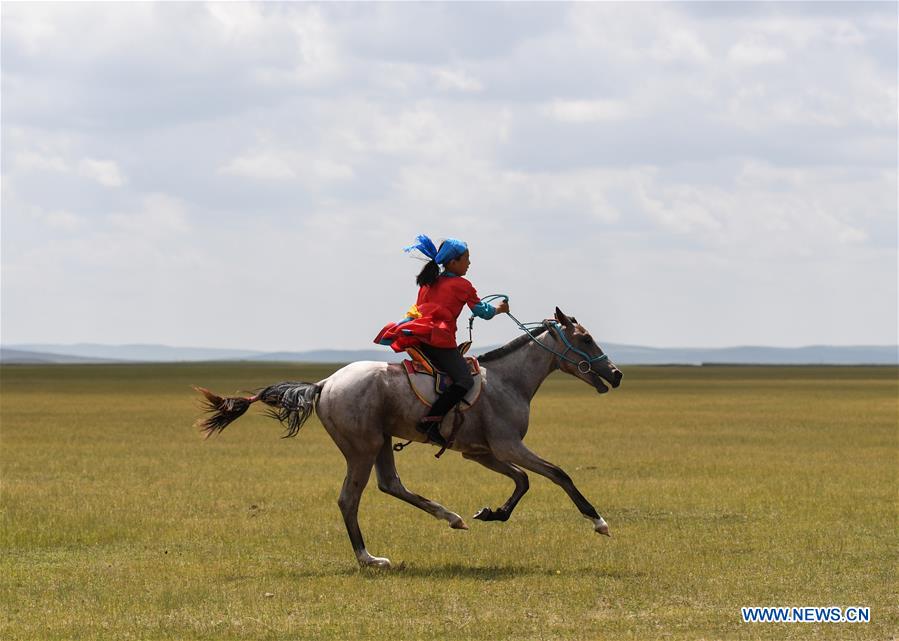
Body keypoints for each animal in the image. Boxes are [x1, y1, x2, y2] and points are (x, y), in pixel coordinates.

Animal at [194, 308, 624, 568]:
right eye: (585, 339)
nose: (617, 374)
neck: (509, 380)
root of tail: (324, 384)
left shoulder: (482, 452)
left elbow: (523, 480)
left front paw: (491, 513)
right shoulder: (508, 446)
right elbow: (558, 474)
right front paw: (599, 522)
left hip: (382, 442)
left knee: (390, 484)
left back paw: (451, 518)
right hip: (363, 447)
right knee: (350, 499)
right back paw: (369, 558)